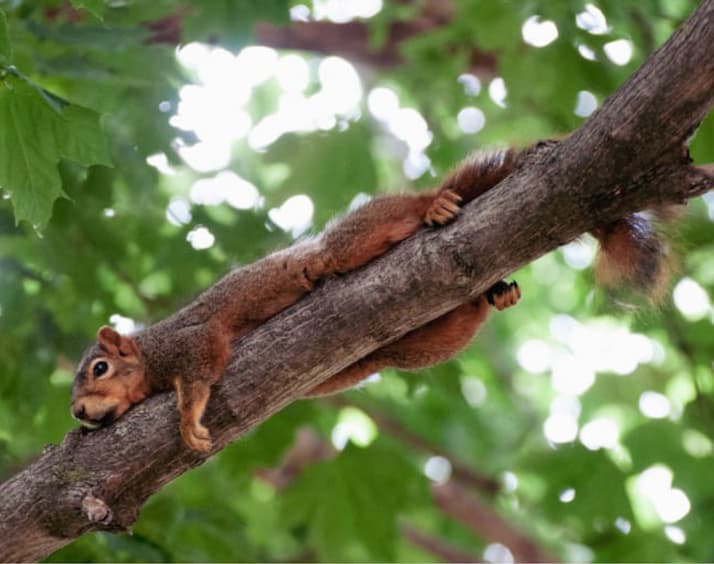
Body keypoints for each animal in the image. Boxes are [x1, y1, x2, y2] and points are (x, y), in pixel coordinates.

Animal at [69, 145, 672, 450]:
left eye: (98, 367)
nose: (77, 411)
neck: (149, 358)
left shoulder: (189, 341)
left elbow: (200, 374)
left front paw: (187, 422)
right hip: (415, 345)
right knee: (463, 314)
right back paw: (492, 295)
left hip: (343, 248)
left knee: (395, 214)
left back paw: (434, 205)